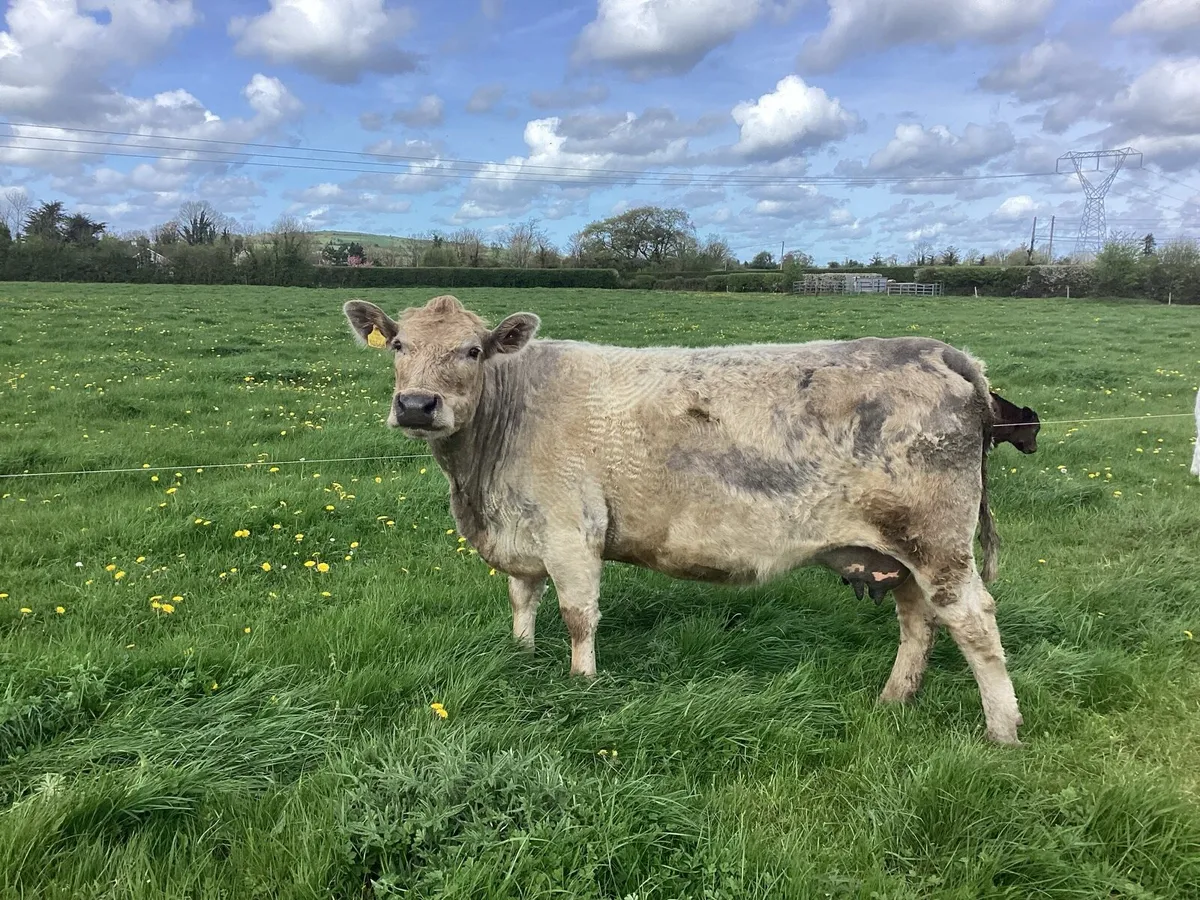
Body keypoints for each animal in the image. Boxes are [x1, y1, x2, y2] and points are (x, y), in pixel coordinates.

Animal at [343, 295, 1023, 745]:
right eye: (399, 345)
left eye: (471, 350)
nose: (416, 405)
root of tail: (940, 350)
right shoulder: (522, 531)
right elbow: (522, 601)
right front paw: (521, 655)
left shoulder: (571, 531)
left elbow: (578, 616)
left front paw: (582, 686)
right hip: (894, 551)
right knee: (919, 622)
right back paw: (894, 699)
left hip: (936, 542)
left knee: (973, 622)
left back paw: (1003, 731)